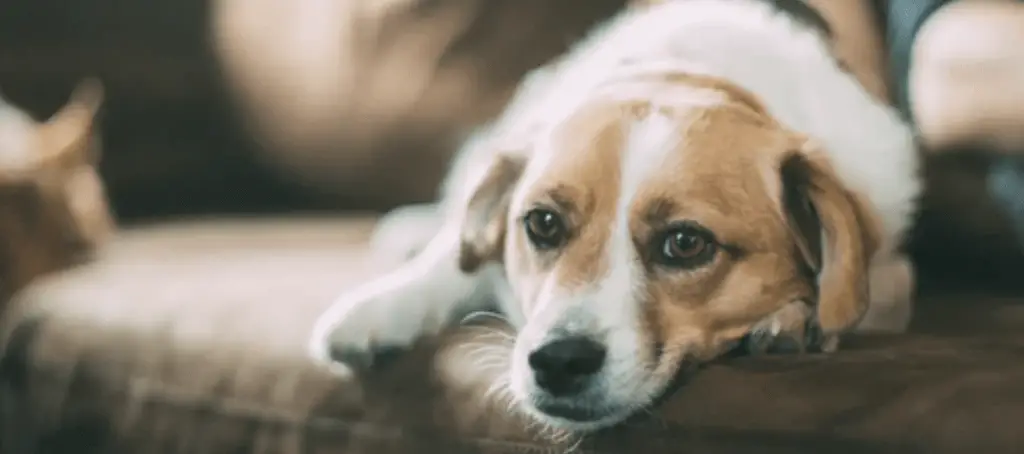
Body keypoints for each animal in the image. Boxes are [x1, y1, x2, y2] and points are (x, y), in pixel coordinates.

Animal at [309, 0, 921, 434]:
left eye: (686, 243)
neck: (690, 74)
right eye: (543, 224)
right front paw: (382, 307)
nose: (558, 361)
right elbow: (455, 259)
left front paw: (795, 317)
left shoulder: (890, 262)